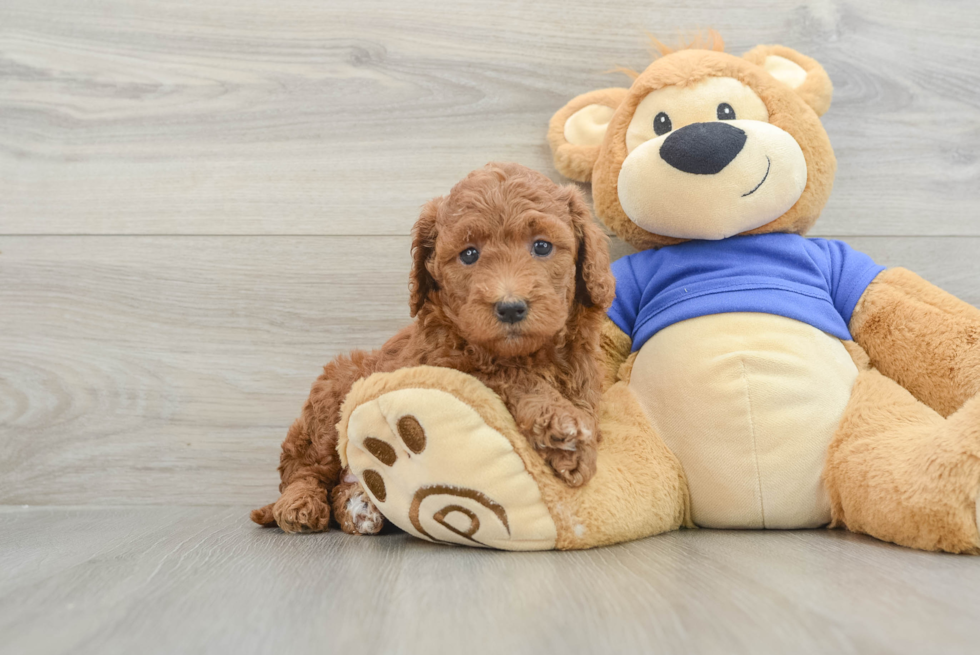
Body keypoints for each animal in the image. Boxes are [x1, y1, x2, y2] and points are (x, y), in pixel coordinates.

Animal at [251, 161, 612, 536]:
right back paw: (300, 505)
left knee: (342, 484)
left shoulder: (582, 370)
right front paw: (561, 426)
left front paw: (574, 441)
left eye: (542, 246)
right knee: (304, 468)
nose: (511, 308)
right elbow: (512, 375)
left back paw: (361, 506)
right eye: (469, 254)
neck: (529, 352)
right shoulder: (451, 363)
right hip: (332, 396)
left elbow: (585, 404)